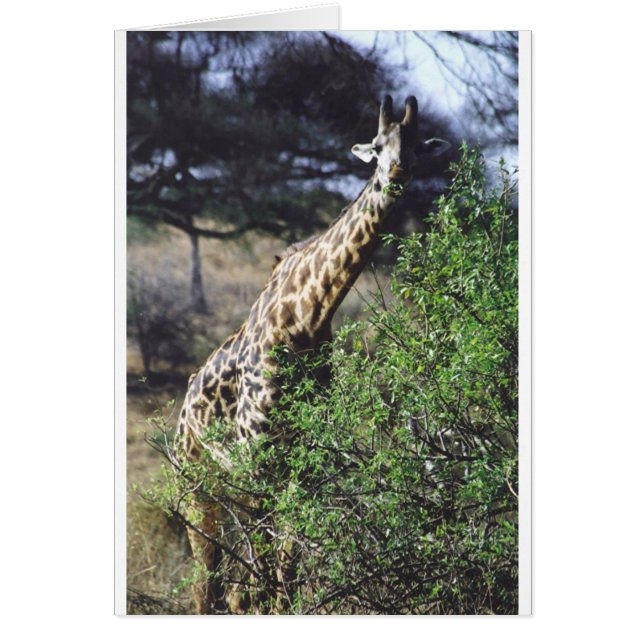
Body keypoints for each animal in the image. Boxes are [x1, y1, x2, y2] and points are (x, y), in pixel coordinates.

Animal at [174, 95, 450, 614]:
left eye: (417, 148)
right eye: (377, 146)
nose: (397, 172)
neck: (308, 316)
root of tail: (181, 416)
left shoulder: (307, 458)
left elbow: (286, 574)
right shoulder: (257, 452)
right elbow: (263, 580)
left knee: (227, 586)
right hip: (197, 483)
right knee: (207, 586)